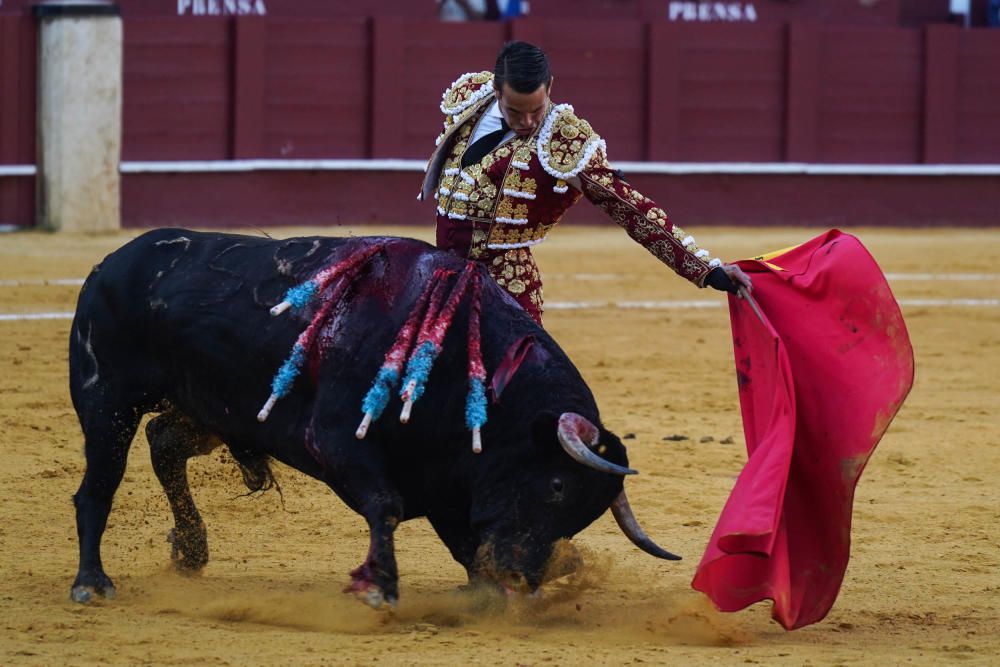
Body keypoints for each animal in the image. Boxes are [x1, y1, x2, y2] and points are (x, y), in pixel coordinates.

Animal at [70, 228, 680, 604]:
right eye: (556, 486)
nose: (522, 577)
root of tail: (110, 263)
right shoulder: (336, 441)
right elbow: (385, 505)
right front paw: (379, 587)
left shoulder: (449, 479)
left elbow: (459, 538)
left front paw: (481, 591)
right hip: (107, 403)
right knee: (97, 487)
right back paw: (92, 583)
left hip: (211, 408)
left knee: (163, 441)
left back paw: (192, 548)